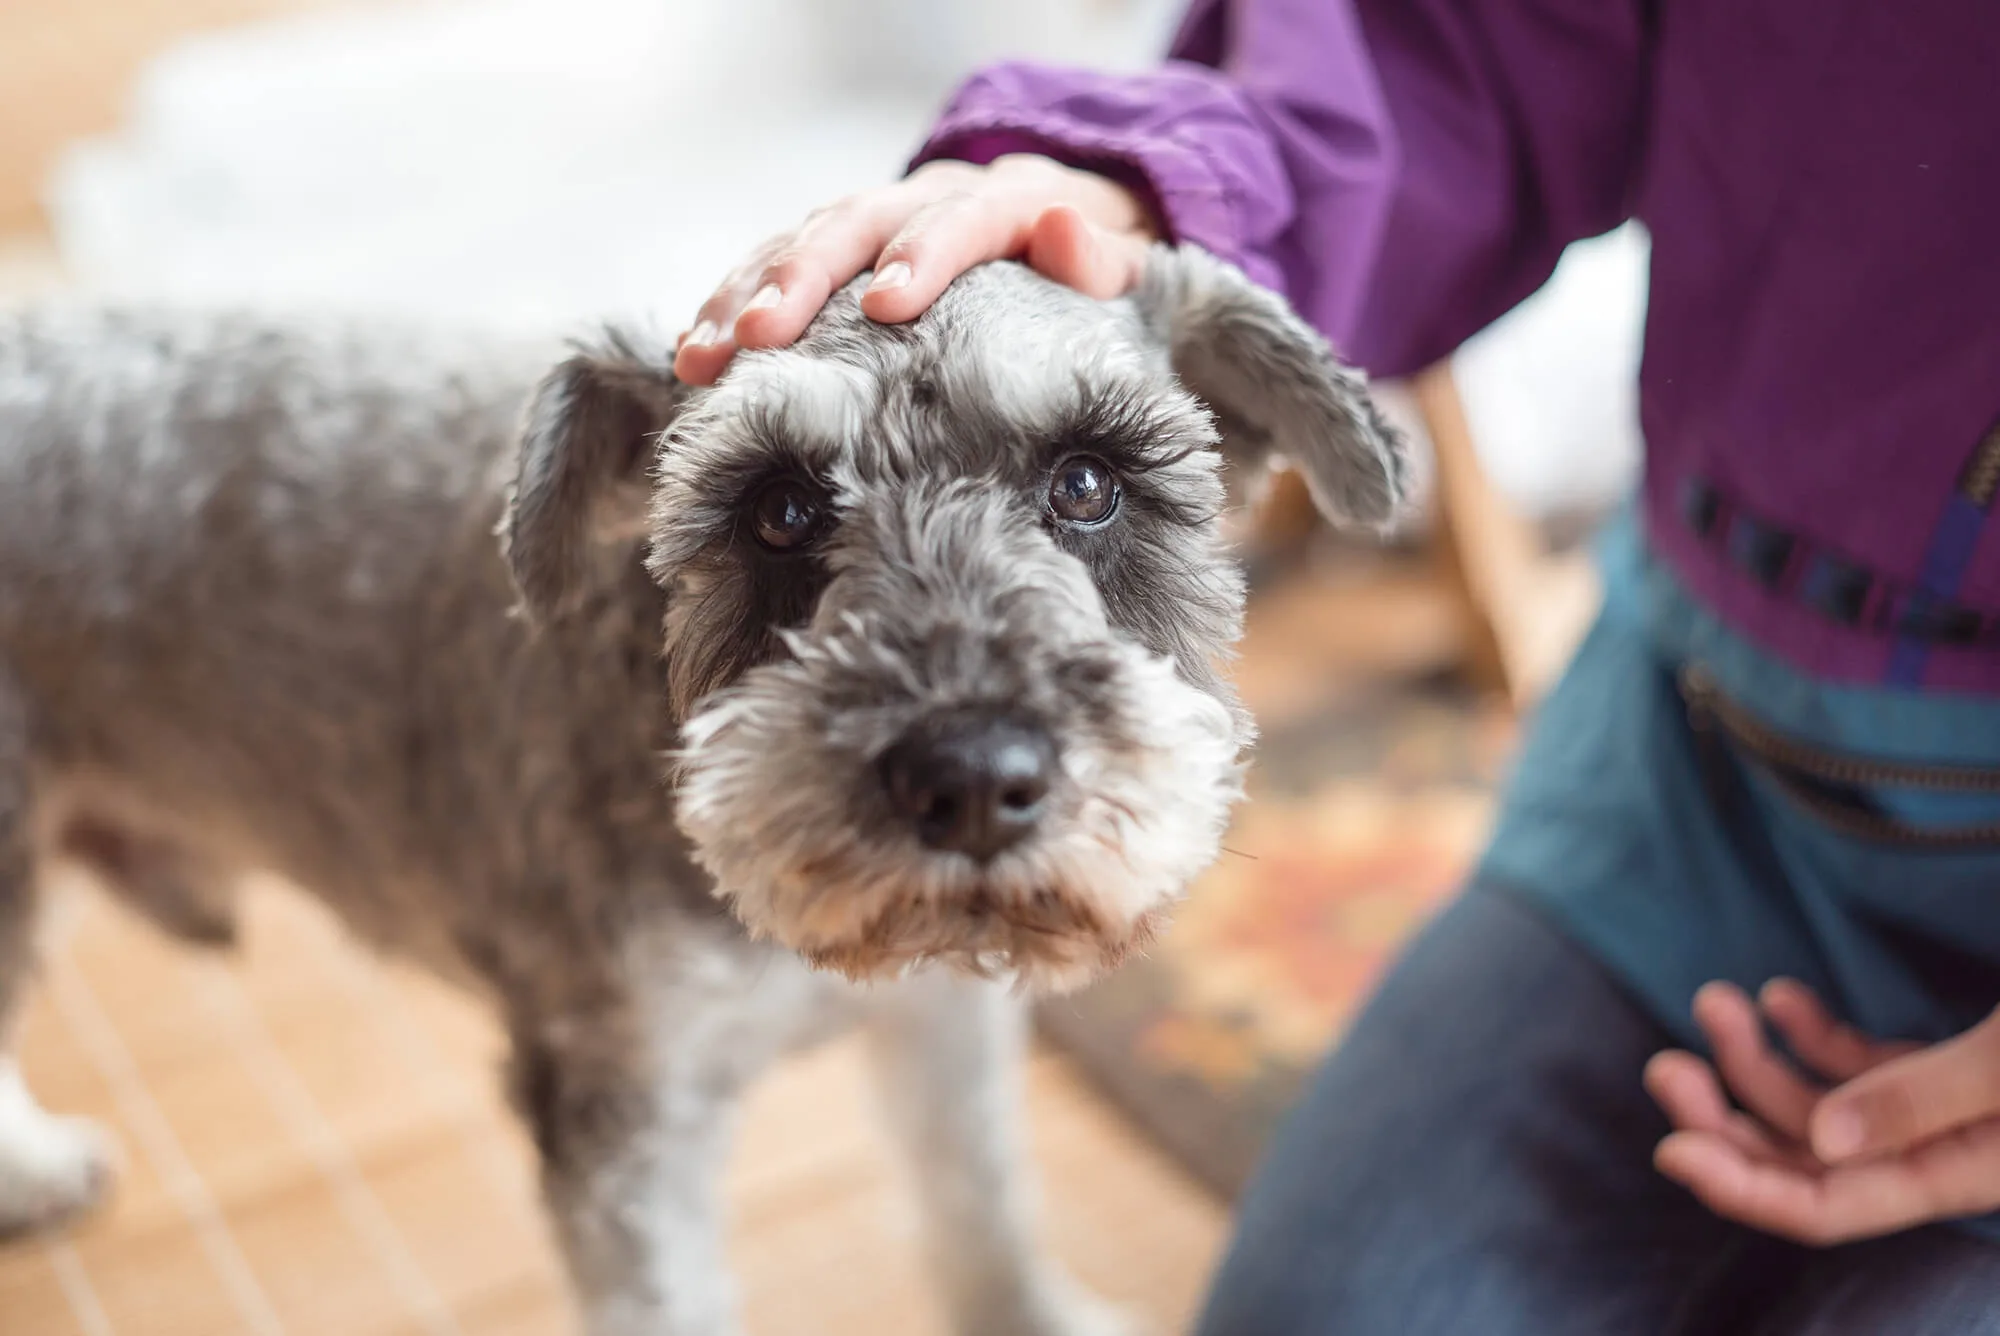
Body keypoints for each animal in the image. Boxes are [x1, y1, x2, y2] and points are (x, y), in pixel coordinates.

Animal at [0, 243, 1408, 1336]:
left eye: (1086, 482)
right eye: (777, 509)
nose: (966, 779)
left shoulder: (942, 1029)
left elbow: (982, 1208)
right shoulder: (625, 1118)